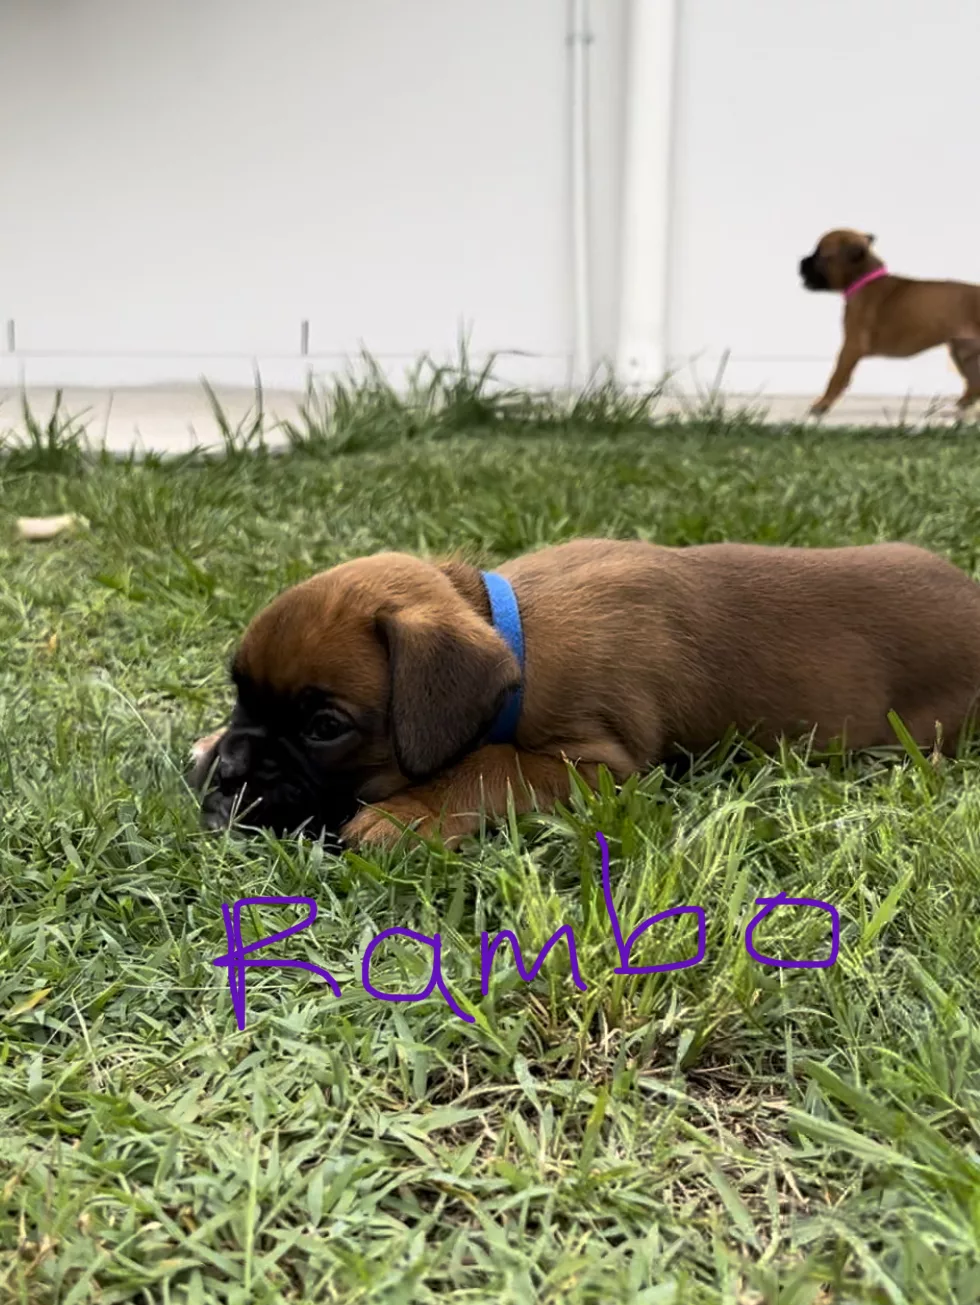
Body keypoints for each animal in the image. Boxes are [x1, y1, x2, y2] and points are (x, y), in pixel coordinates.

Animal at [189, 538, 980, 851]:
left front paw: (409, 813)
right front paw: (208, 742)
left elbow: (489, 762)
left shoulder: (600, 768)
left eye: (324, 726)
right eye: (239, 695)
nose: (231, 773)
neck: (513, 633)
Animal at [799, 228, 980, 416]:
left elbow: (836, 377)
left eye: (820, 254)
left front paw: (823, 404)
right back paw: (963, 404)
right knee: (975, 381)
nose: (801, 261)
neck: (864, 279)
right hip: (963, 352)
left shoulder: (851, 347)